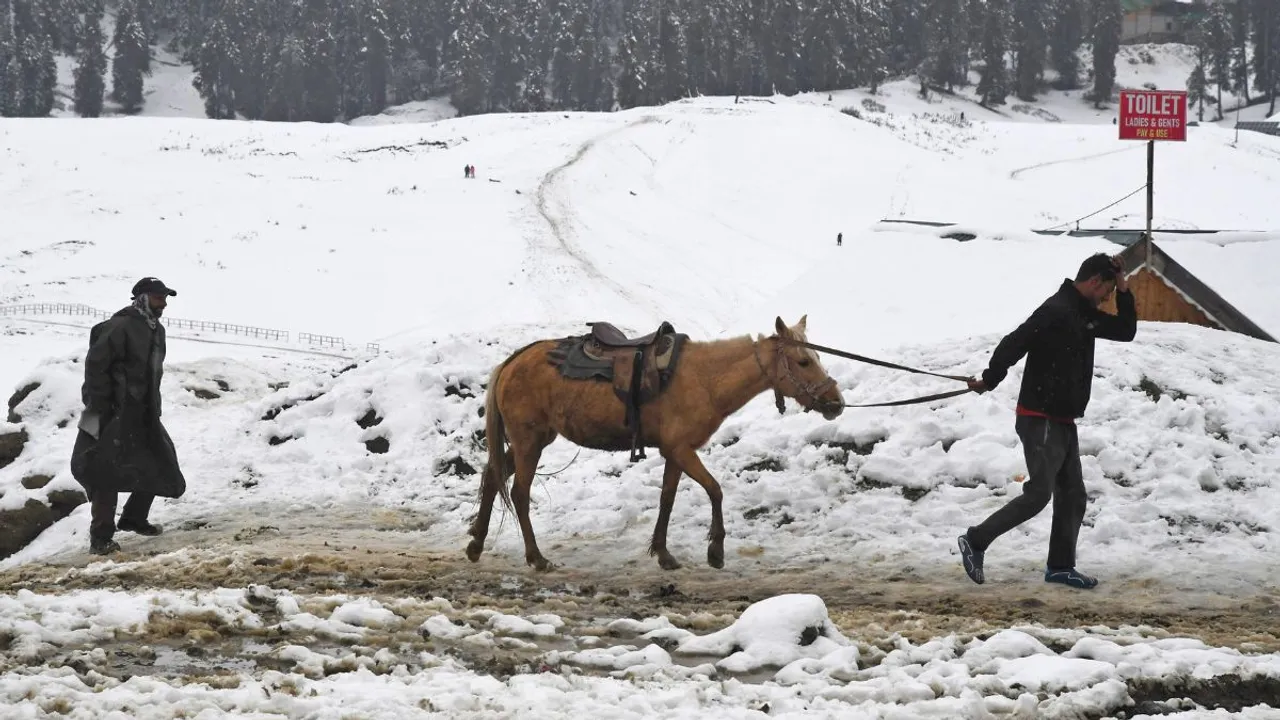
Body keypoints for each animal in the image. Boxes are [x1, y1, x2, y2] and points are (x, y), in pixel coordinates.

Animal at [465, 313, 844, 571]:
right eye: (803, 361)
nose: (836, 404)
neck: (705, 379)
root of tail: (513, 361)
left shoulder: (675, 453)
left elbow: (667, 499)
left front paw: (663, 553)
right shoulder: (681, 450)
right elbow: (715, 490)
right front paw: (715, 551)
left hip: (534, 439)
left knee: (492, 476)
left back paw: (476, 544)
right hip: (528, 440)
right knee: (519, 492)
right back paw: (536, 557)